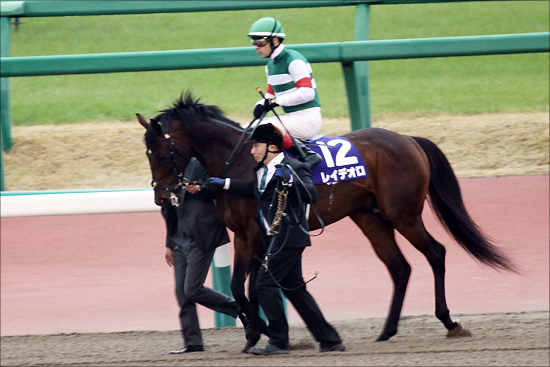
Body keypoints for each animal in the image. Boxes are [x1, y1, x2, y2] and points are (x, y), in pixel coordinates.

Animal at [138, 93, 516, 352]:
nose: (162, 197)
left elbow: (251, 286)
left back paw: (449, 321)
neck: (243, 162)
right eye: (147, 153)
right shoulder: (245, 236)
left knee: (436, 253)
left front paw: (264, 331)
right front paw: (255, 332)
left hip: (403, 214)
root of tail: (409, 140)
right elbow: (236, 287)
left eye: (161, 152)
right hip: (370, 218)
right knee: (399, 268)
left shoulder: (258, 234)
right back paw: (386, 331)